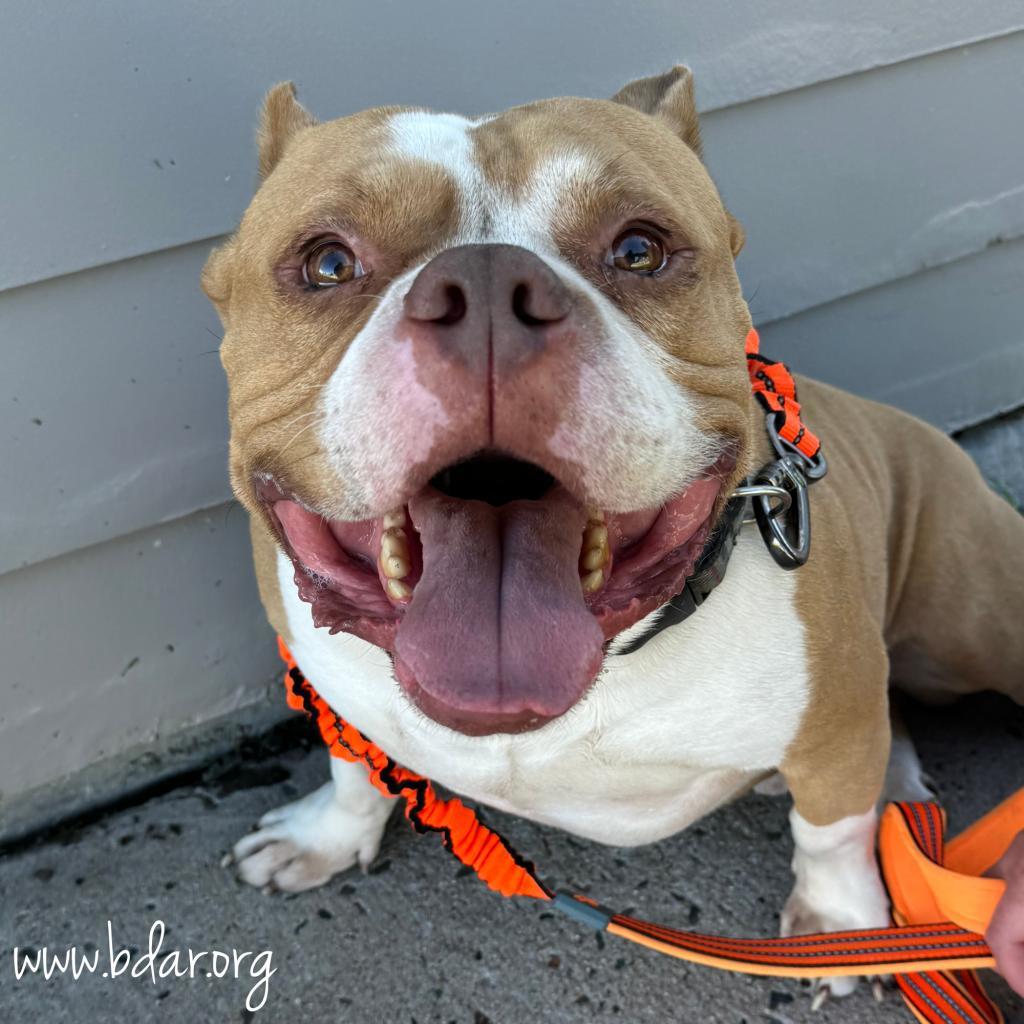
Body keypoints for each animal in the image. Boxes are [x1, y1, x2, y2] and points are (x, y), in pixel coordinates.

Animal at [201, 70, 1024, 999]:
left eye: (639, 250)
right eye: (328, 263)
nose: (488, 288)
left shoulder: (836, 718)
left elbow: (833, 828)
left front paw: (845, 922)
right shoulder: (335, 691)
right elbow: (353, 770)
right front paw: (329, 835)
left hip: (976, 621)